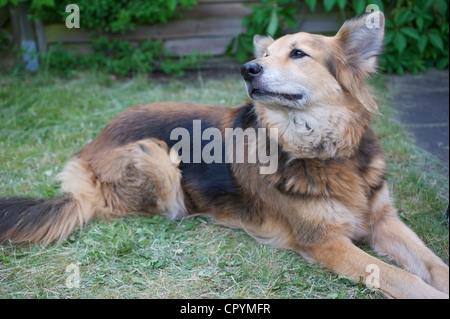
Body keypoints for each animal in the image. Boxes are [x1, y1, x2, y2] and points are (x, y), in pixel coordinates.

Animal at [0, 11, 450, 298]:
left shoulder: (383, 219)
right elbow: (400, 277)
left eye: (298, 53)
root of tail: (87, 150)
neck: (325, 151)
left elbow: (432, 264)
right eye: (265, 56)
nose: (247, 68)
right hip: (158, 155)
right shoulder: (325, 241)